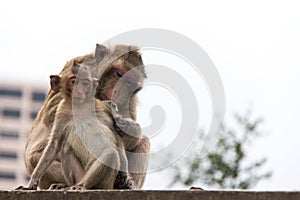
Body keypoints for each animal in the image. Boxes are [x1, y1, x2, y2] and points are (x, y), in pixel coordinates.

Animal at [24, 43, 150, 189]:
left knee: (144, 140)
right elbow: (53, 114)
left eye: (129, 83)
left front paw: (130, 126)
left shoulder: (130, 99)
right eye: (119, 74)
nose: (117, 92)